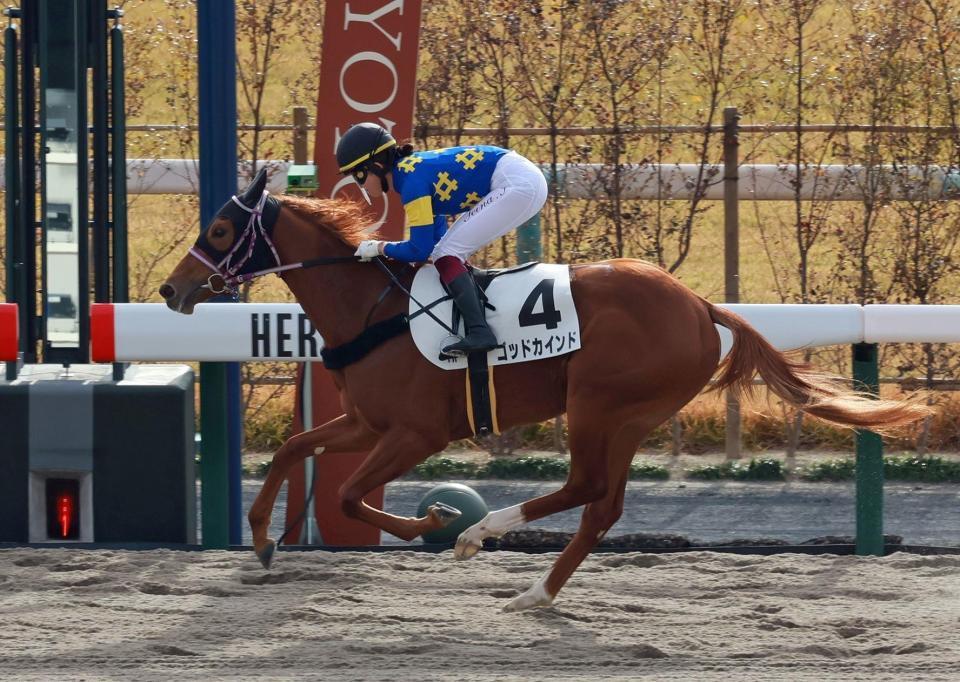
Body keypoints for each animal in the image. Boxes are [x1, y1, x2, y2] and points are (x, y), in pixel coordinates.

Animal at [161, 170, 928, 612]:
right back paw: (536, 591)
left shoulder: (416, 432)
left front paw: (435, 523)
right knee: (601, 505)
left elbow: (349, 494)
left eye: (221, 228)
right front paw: (263, 539)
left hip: (598, 403)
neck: (373, 309)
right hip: (630, 417)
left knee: (584, 487)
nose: (172, 290)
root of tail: (702, 306)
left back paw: (485, 535)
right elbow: (295, 448)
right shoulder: (367, 423)